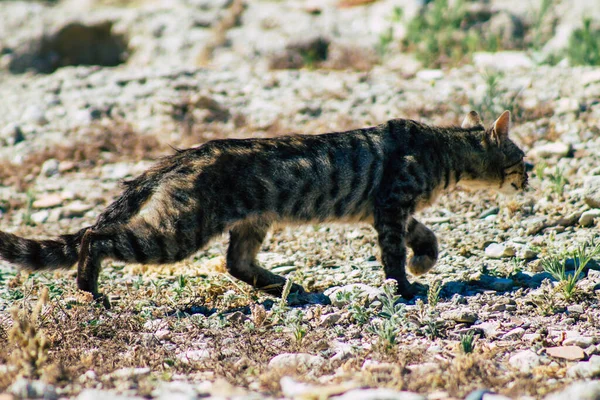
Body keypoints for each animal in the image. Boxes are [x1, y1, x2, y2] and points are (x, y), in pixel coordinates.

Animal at [0, 111, 524, 308]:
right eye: (521, 158)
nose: (532, 174)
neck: (441, 149)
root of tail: (184, 154)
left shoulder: (395, 210)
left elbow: (424, 234)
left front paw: (424, 261)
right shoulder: (391, 205)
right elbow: (394, 254)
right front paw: (407, 285)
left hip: (251, 223)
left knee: (237, 263)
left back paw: (289, 287)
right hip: (179, 231)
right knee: (96, 237)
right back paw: (89, 288)